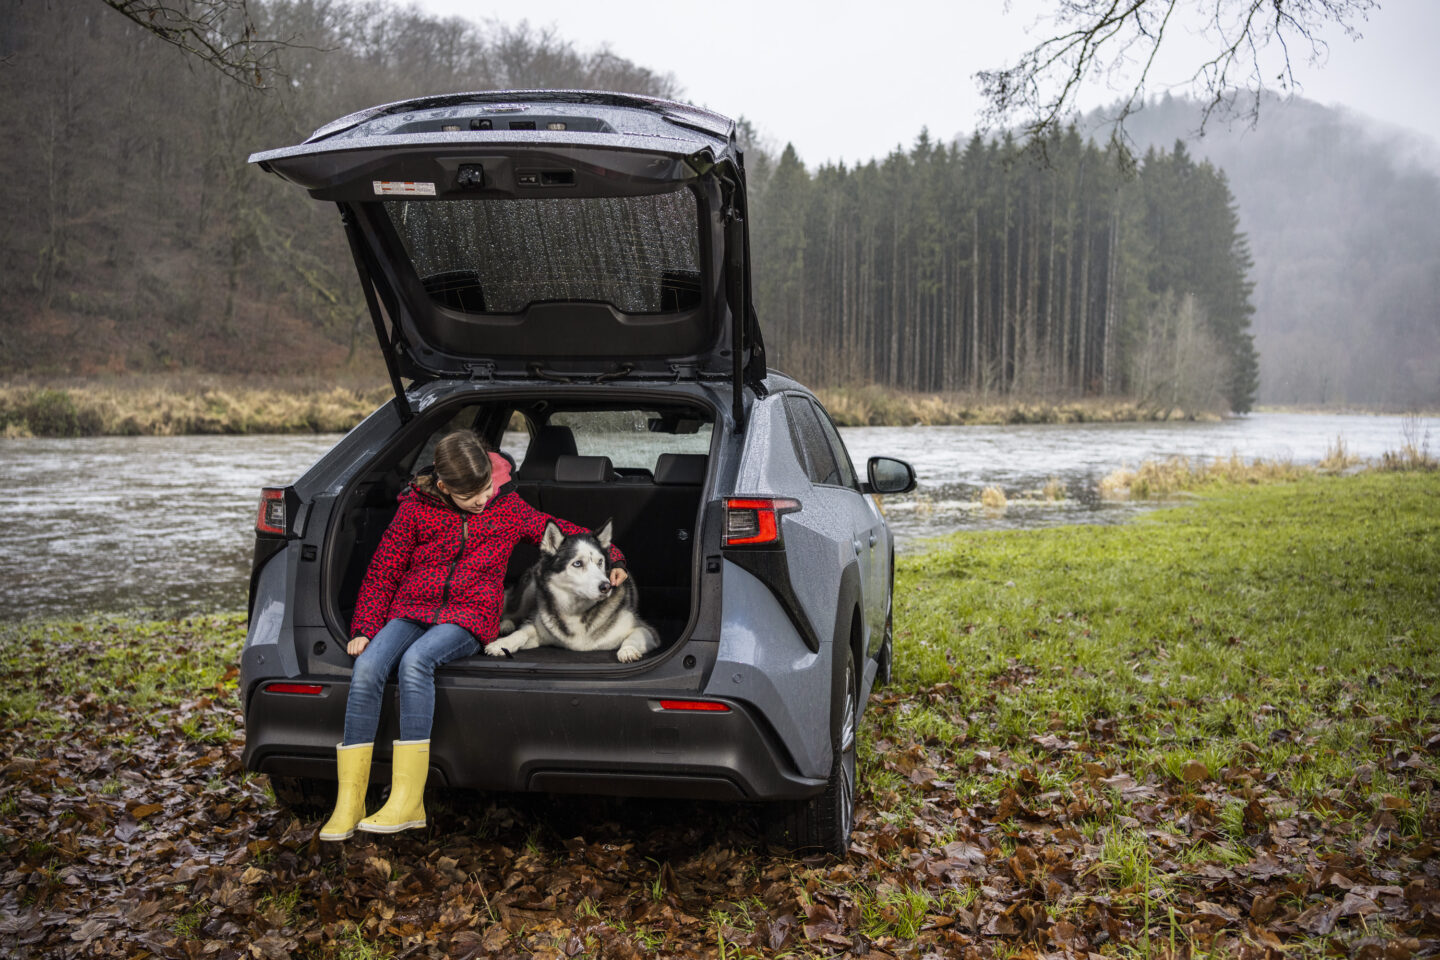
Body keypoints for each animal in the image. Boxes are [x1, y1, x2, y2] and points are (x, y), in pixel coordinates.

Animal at [489, 521, 659, 664]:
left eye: (600, 562)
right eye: (577, 563)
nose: (606, 586)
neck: (576, 611)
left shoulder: (646, 630)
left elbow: (634, 637)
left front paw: (628, 651)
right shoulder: (540, 631)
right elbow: (522, 632)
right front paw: (502, 643)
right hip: (530, 589)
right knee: (513, 610)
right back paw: (506, 624)